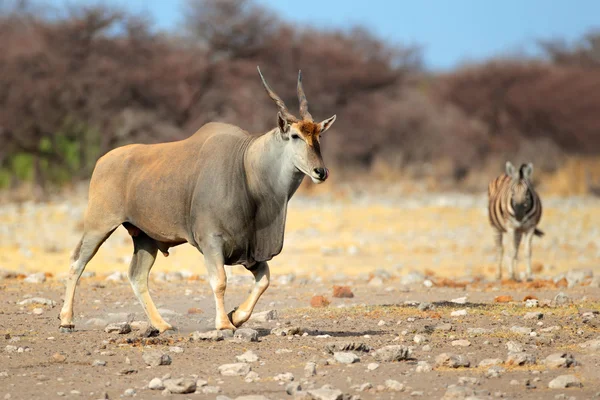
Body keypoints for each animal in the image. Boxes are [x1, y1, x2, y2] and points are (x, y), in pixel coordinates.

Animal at [59, 67, 338, 332]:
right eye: (295, 136)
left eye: (319, 137)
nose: (320, 172)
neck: (246, 167)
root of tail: (102, 161)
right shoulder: (211, 241)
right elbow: (220, 281)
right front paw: (224, 324)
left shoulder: (249, 251)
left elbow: (265, 279)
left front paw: (236, 316)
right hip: (99, 225)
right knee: (77, 262)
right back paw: (66, 320)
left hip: (145, 238)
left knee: (136, 276)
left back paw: (162, 325)